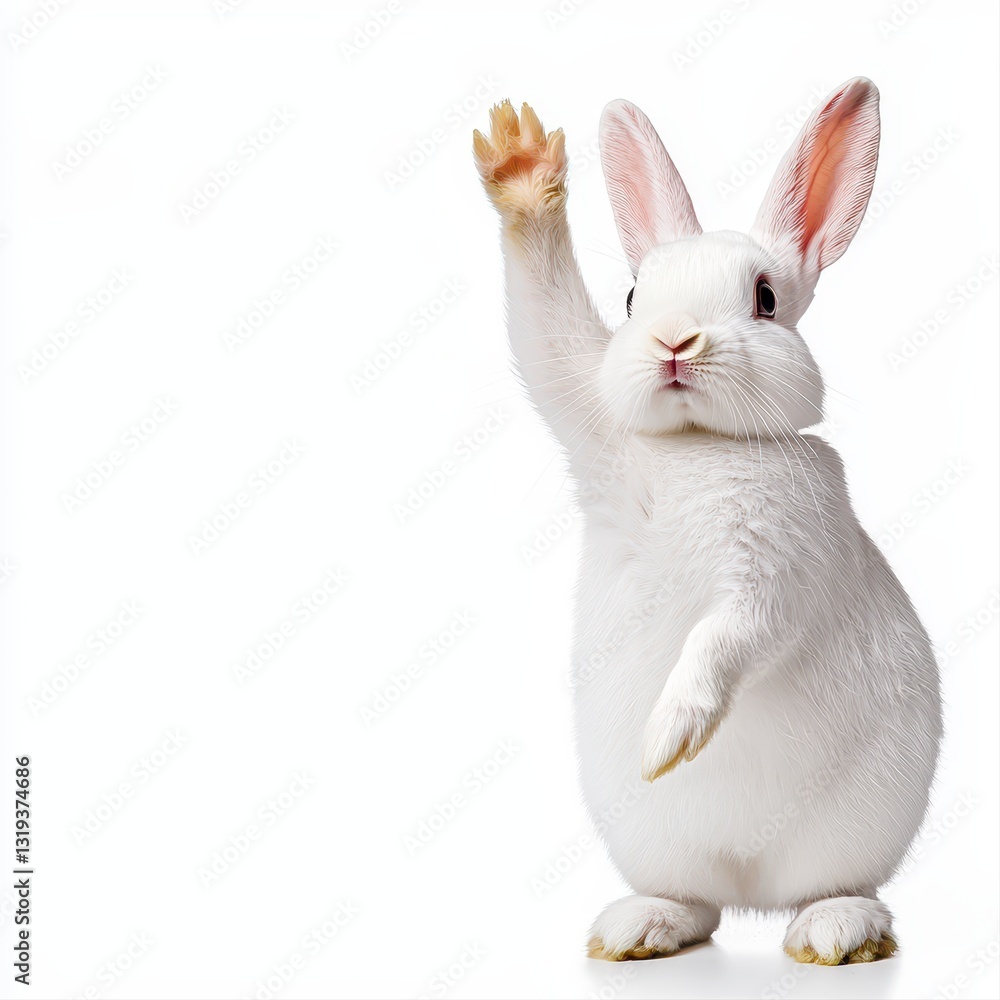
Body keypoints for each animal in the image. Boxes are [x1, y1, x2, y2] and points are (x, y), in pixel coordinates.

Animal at [472, 79, 941, 966]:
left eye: (765, 299)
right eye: (631, 297)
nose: (672, 342)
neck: (701, 444)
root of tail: (749, 883)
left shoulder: (775, 575)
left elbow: (724, 642)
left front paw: (669, 737)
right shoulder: (591, 423)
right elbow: (548, 331)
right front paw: (521, 161)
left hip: (853, 833)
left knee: (837, 888)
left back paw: (834, 935)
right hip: (657, 842)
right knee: (694, 902)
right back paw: (638, 930)